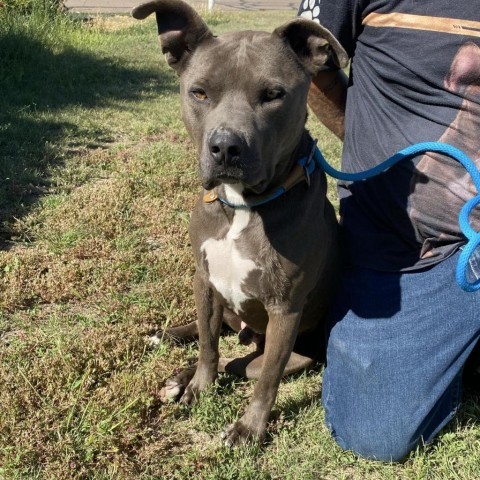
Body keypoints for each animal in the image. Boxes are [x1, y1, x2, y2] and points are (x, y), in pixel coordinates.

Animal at [133, 0, 346, 446]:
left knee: (246, 362)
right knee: (216, 338)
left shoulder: (285, 310)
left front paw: (249, 428)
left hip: (298, 350)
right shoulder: (203, 279)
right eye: (199, 92)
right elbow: (208, 346)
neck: (244, 206)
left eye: (273, 95)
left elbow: (264, 379)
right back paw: (171, 340)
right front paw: (199, 384)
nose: (226, 147)